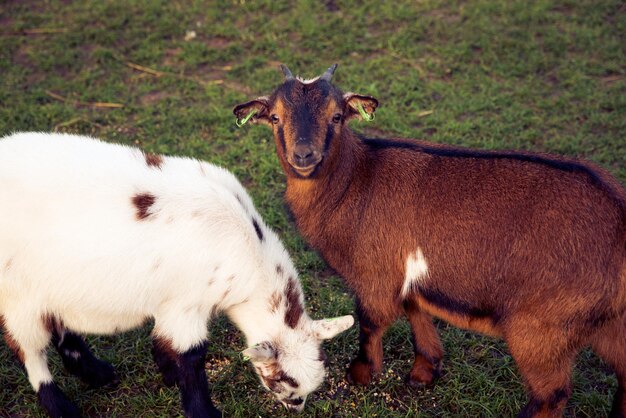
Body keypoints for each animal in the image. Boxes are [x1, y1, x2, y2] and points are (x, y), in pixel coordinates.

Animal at [0, 133, 352, 418]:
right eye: (283, 378)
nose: (297, 405)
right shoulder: (187, 304)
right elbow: (192, 357)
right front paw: (203, 411)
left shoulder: (173, 306)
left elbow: (164, 344)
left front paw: (167, 375)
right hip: (18, 296)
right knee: (31, 353)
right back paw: (61, 407)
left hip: (51, 287)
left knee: (61, 329)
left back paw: (97, 373)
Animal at [233, 65, 624, 418]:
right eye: (275, 117)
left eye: (337, 116)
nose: (304, 155)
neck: (355, 182)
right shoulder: (408, 274)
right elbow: (415, 310)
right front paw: (425, 371)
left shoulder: (374, 275)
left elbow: (371, 322)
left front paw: (360, 374)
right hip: (608, 324)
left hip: (542, 328)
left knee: (551, 395)